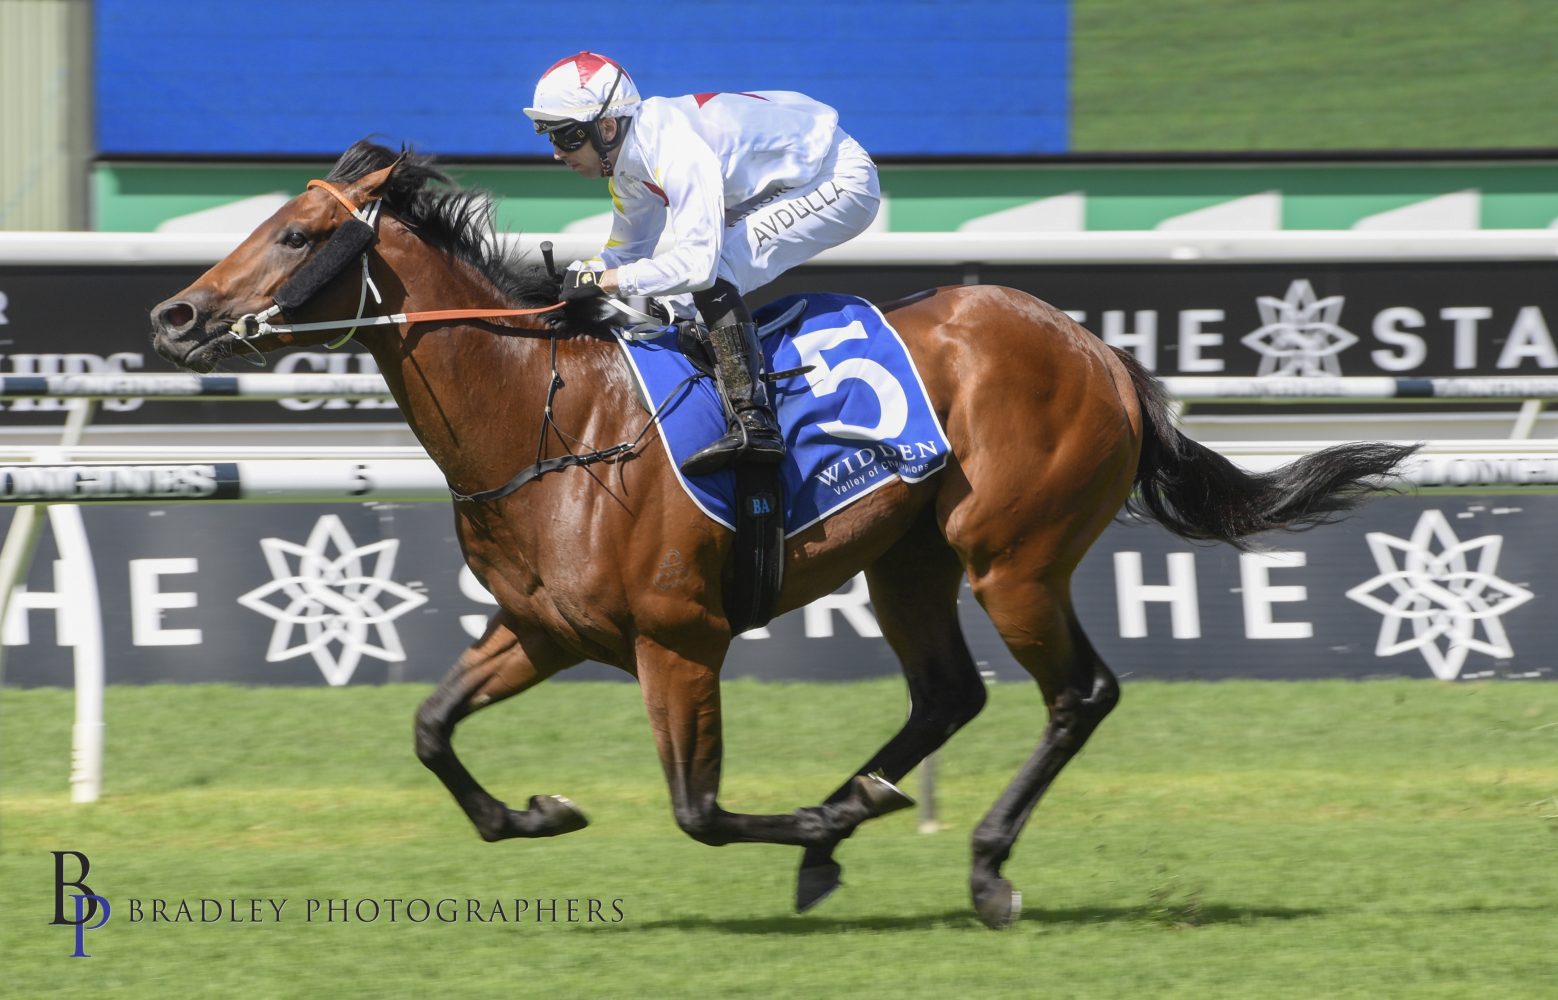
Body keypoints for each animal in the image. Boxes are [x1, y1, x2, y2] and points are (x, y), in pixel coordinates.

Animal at [149, 139, 1416, 930]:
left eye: (295, 233)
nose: (177, 312)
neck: (551, 421)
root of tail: (1097, 350)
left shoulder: (679, 638)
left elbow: (698, 809)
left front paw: (818, 814)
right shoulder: (545, 629)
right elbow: (428, 728)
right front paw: (539, 811)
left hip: (1014, 557)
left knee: (1077, 694)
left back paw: (973, 862)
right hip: (910, 558)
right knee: (947, 694)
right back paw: (853, 821)